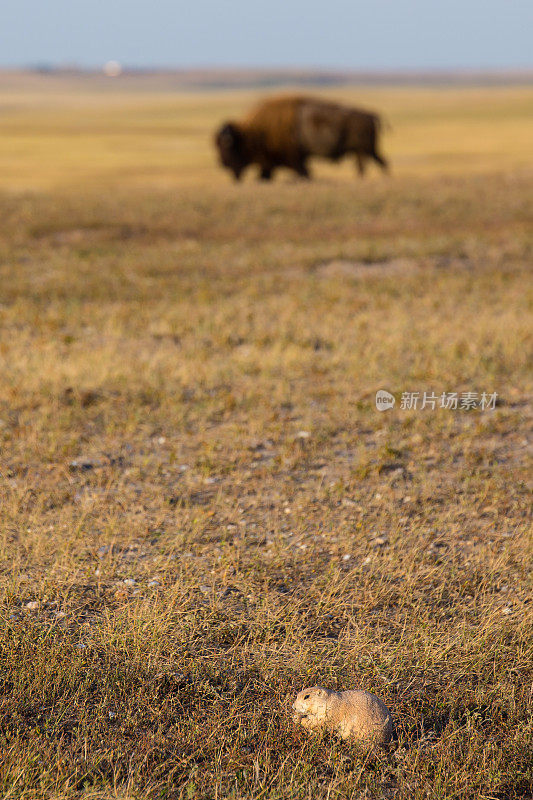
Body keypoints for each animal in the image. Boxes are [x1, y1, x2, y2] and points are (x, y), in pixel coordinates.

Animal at [214, 95, 388, 181]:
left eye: (226, 147)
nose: (222, 163)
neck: (254, 132)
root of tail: (371, 115)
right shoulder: (272, 163)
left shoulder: (293, 159)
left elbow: (303, 172)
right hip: (365, 151)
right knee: (373, 164)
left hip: (365, 150)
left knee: (373, 164)